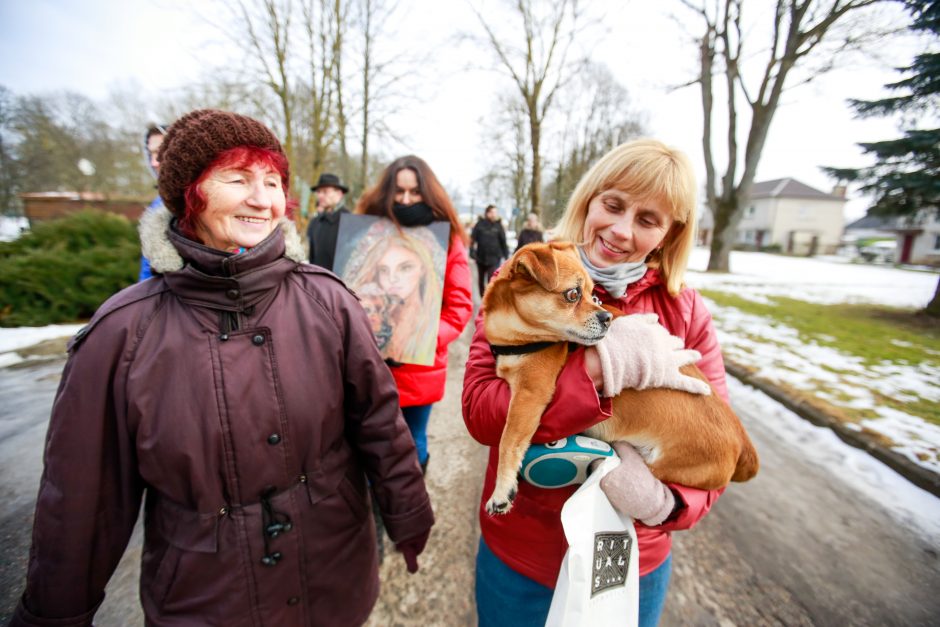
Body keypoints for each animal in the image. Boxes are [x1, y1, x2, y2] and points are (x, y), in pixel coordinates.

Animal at [482, 240, 760, 516]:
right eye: (573, 294)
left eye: (592, 293)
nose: (607, 318)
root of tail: (744, 445)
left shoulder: (530, 393)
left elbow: (509, 441)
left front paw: (502, 491)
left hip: (662, 467)